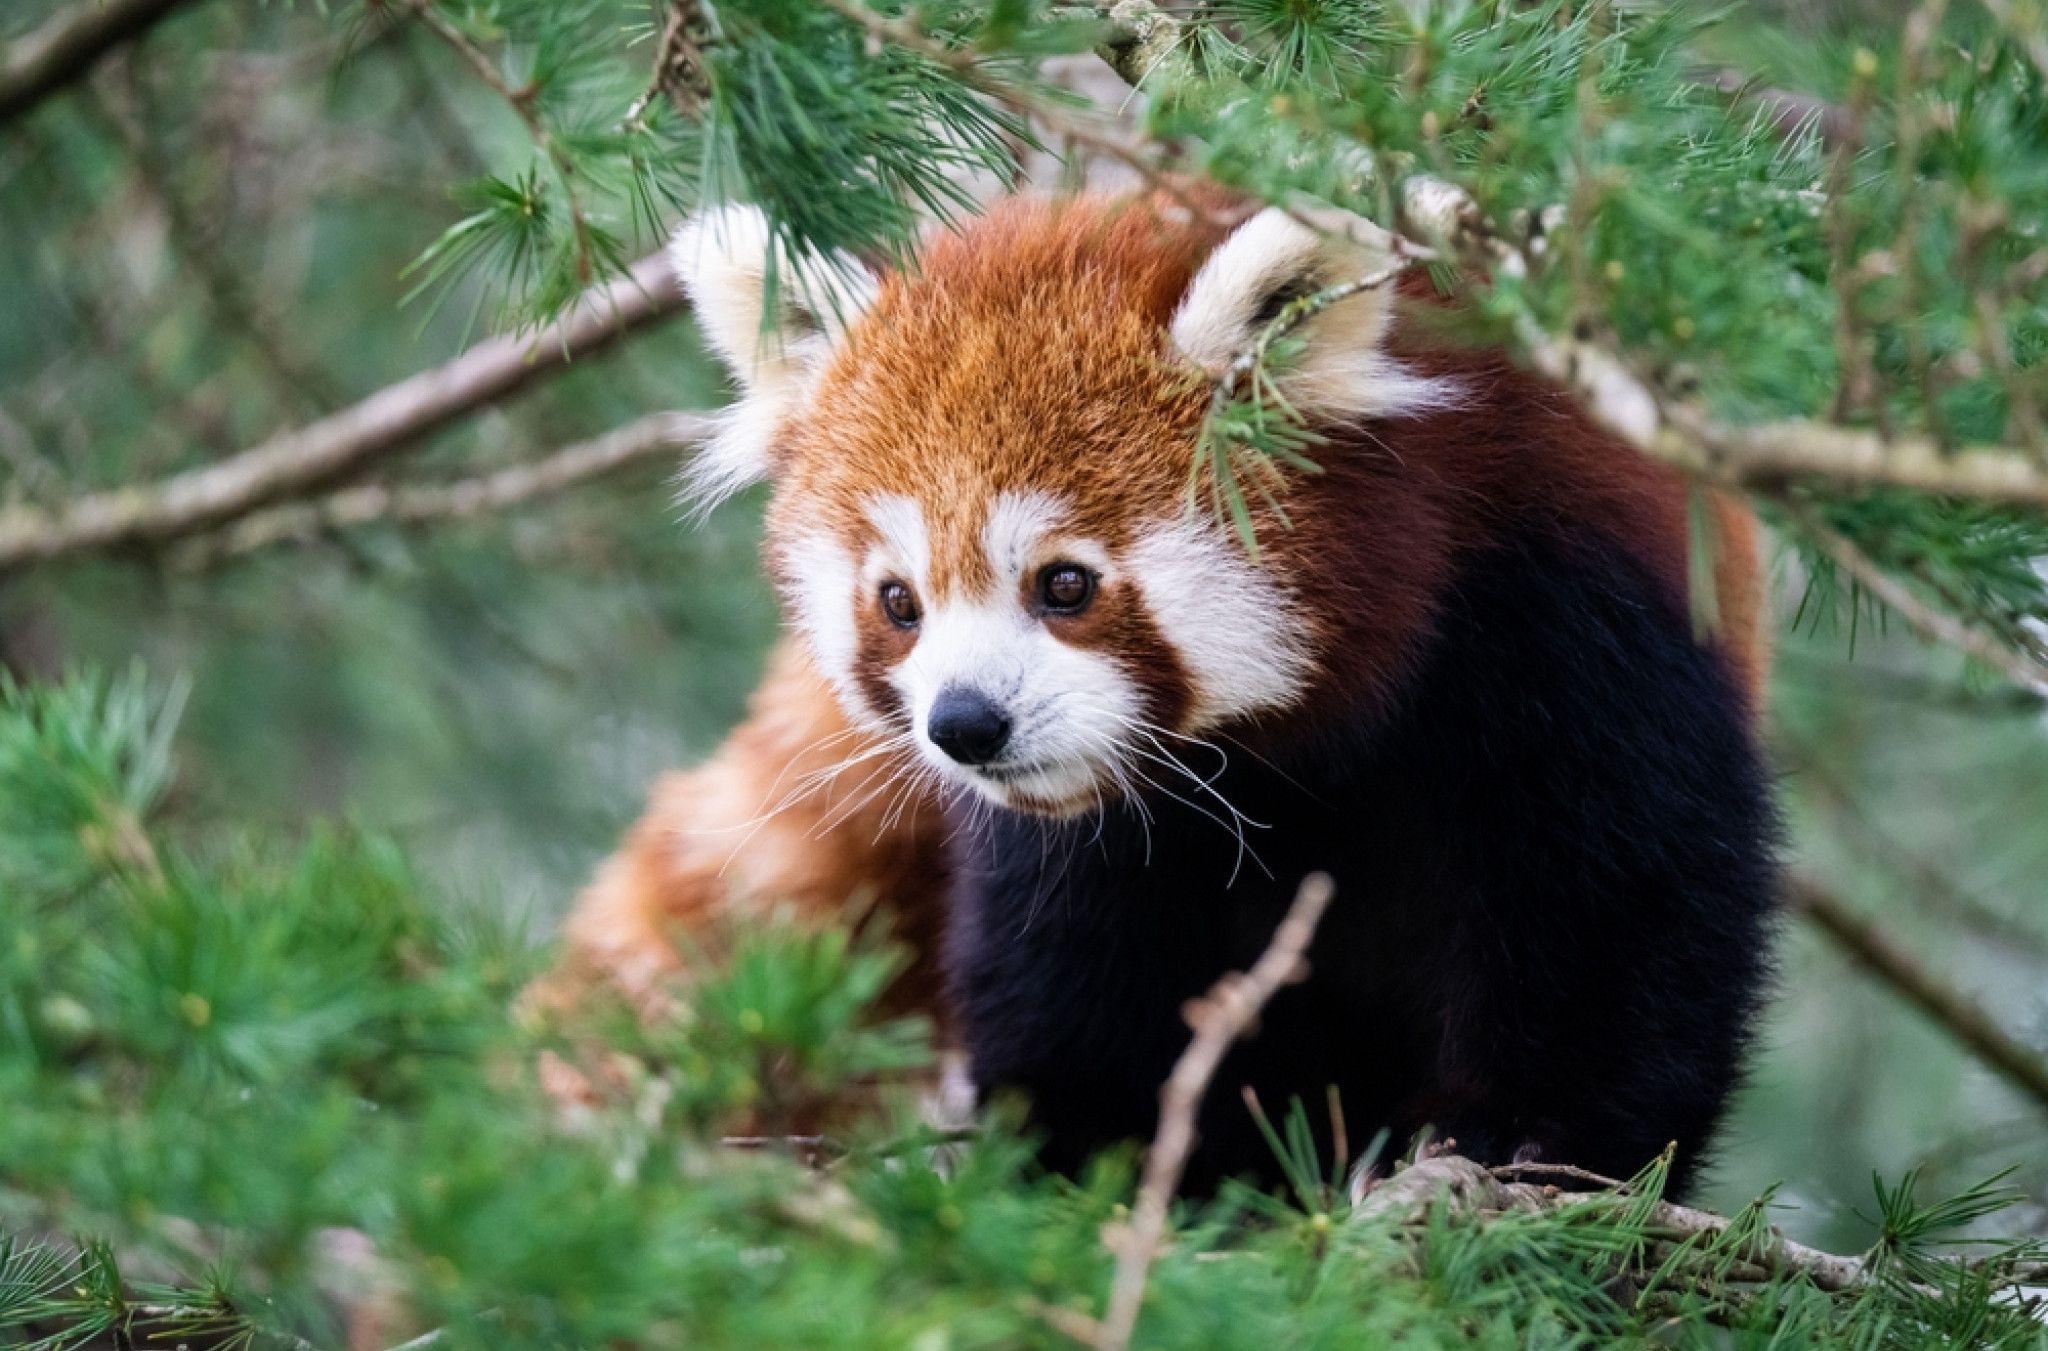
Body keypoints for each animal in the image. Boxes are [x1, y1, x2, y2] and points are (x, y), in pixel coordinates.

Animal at [549, 189, 1779, 1198]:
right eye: (898, 601)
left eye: (1064, 583)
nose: (964, 726)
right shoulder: (1081, 842)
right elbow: (1069, 959)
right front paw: (1085, 1154)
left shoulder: (1567, 625)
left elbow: (1618, 910)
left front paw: (1526, 1146)